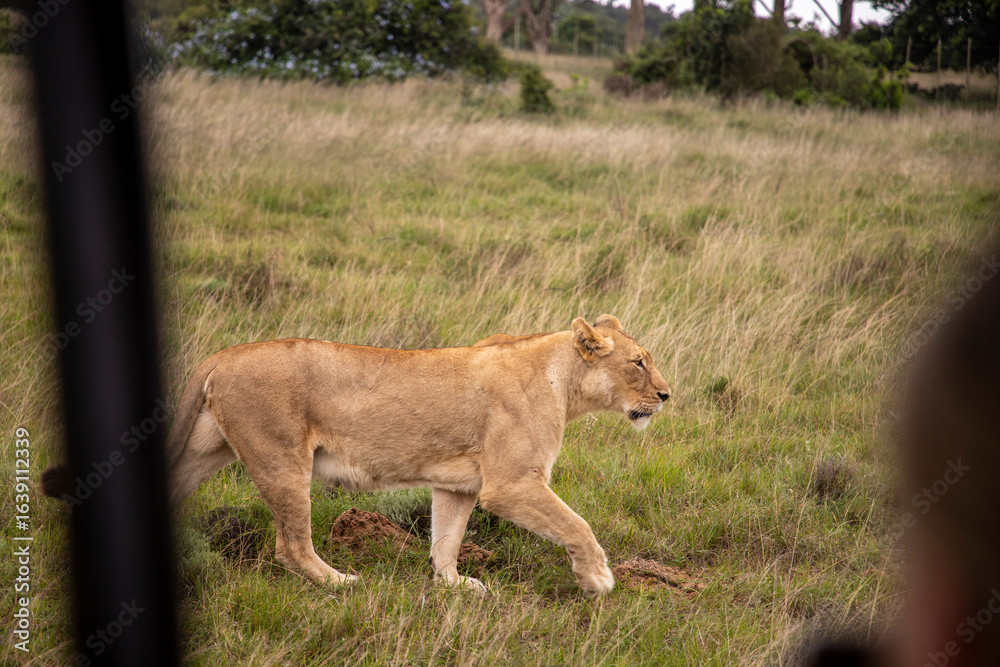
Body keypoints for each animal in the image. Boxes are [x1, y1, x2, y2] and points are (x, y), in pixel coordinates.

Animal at [45, 315, 671, 596]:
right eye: (638, 362)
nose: (666, 396)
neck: (565, 383)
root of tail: (223, 354)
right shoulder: (512, 483)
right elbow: (577, 524)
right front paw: (598, 579)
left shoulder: (460, 485)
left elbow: (446, 540)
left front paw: (454, 587)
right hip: (281, 459)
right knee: (291, 546)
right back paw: (340, 582)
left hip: (208, 450)